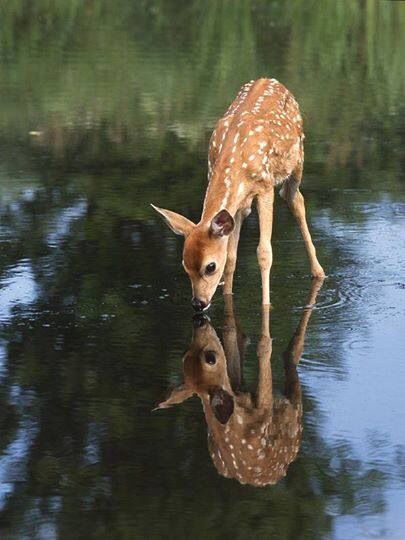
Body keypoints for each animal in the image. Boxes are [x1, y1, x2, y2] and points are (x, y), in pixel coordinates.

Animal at [152, 78, 326, 310]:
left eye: (210, 267)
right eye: (184, 265)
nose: (198, 303)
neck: (235, 158)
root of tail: (270, 79)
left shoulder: (265, 186)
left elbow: (264, 252)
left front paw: (266, 305)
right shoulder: (235, 202)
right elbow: (231, 257)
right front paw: (228, 295)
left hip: (297, 158)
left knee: (295, 198)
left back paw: (319, 272)